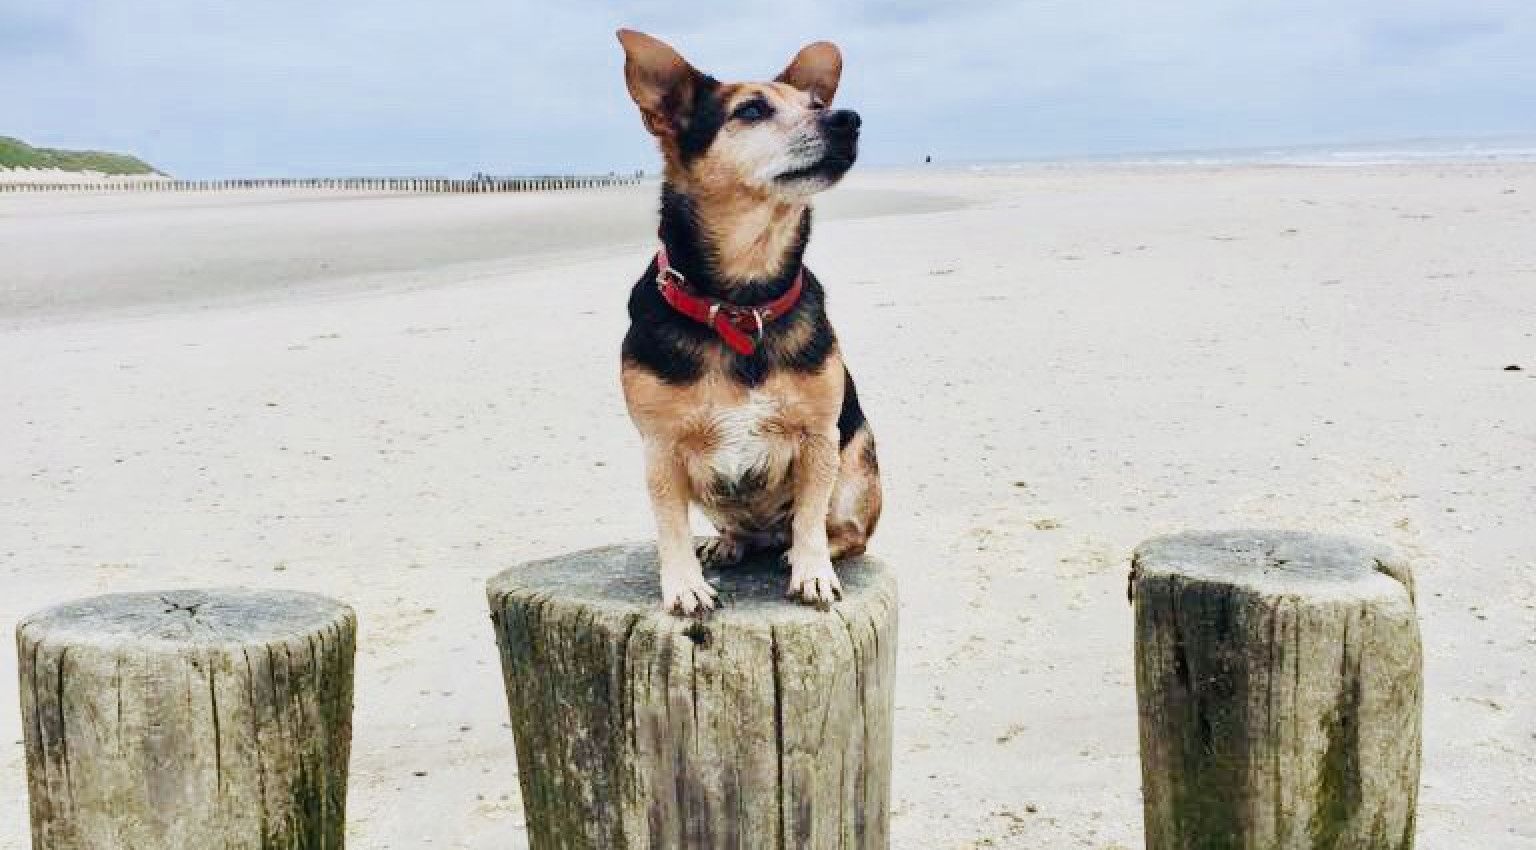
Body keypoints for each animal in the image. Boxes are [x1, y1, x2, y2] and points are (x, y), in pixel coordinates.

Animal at [608, 29, 878, 611]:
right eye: (751, 110)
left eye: (815, 104)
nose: (847, 119)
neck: (742, 299)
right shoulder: (660, 450)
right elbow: (670, 526)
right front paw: (684, 584)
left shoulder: (819, 438)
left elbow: (810, 518)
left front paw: (812, 571)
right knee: (738, 529)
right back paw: (729, 544)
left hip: (858, 460)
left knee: (842, 531)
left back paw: (794, 551)